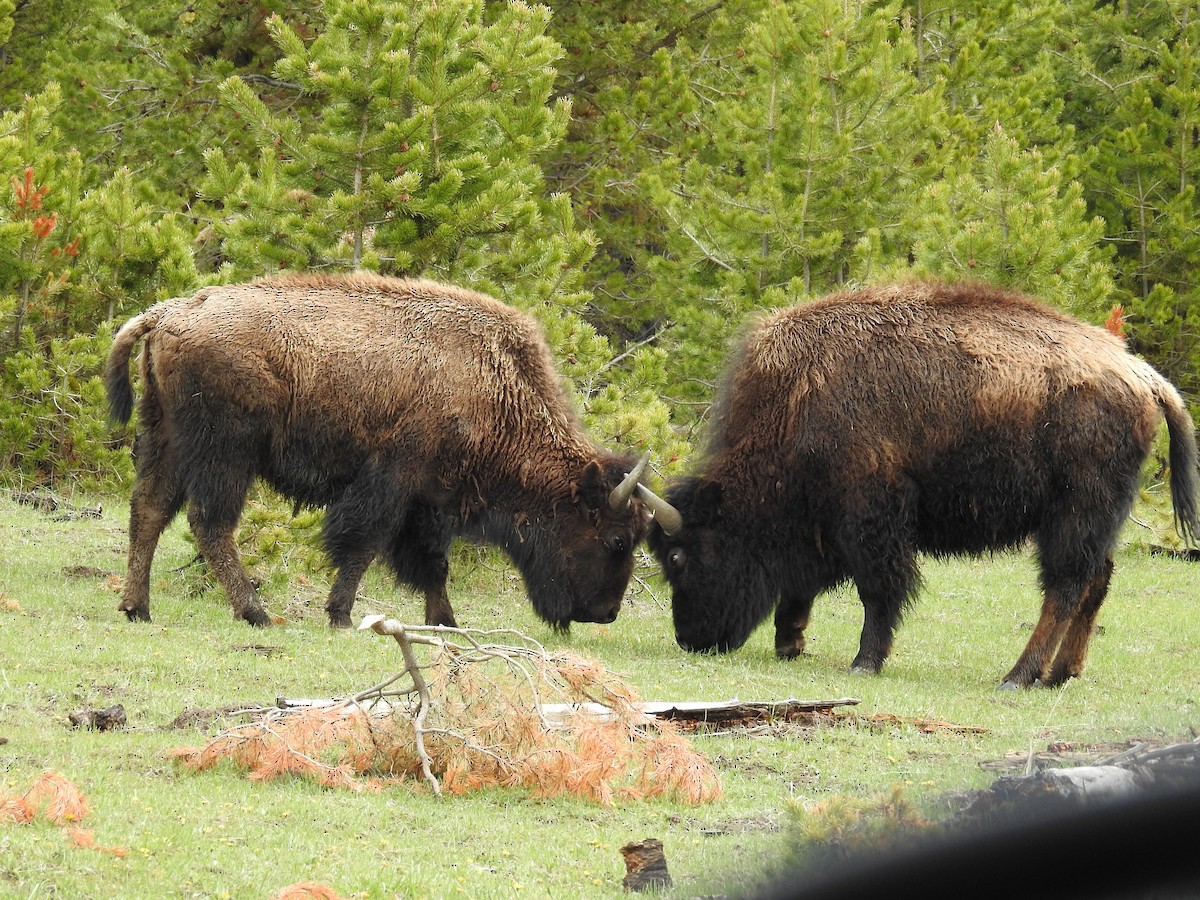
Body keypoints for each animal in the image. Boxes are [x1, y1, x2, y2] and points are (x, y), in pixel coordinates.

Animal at [105, 273, 661, 629]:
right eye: (616, 539)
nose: (605, 613)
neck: (492, 385)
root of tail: (166, 314)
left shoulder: (430, 503)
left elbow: (432, 563)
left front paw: (445, 622)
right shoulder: (392, 484)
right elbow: (363, 545)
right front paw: (342, 615)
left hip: (165, 439)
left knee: (148, 510)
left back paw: (137, 608)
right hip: (225, 452)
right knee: (209, 523)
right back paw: (255, 613)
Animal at [643, 281, 1199, 688]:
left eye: (678, 557)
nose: (692, 638)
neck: (797, 398)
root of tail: (1144, 375)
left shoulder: (871, 515)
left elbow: (878, 588)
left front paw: (864, 662)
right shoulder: (828, 524)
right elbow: (807, 582)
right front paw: (790, 643)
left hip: (1073, 513)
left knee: (1064, 585)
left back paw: (1019, 676)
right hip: (1100, 518)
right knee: (1094, 582)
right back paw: (1060, 674)